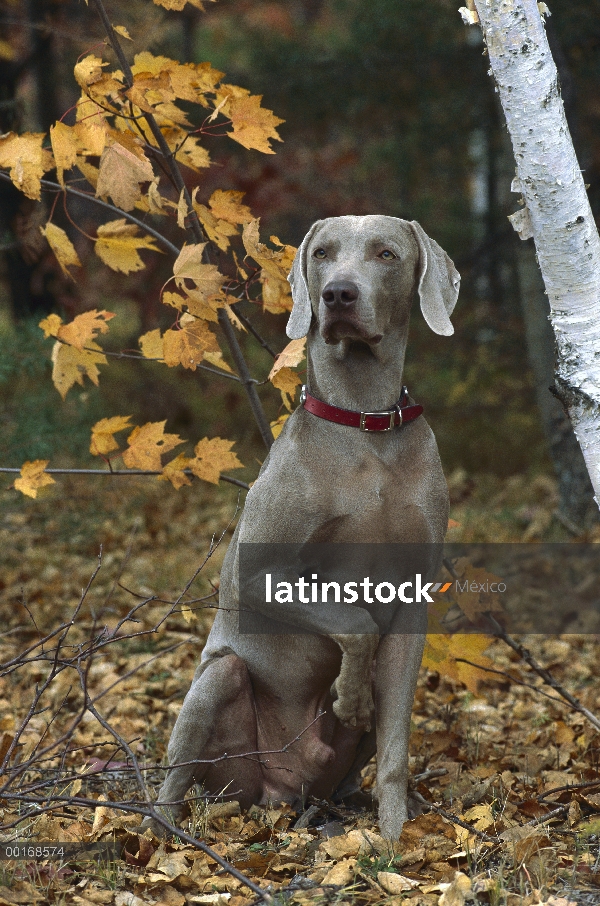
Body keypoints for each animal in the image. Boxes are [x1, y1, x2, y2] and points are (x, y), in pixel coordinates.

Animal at [143, 215, 462, 836]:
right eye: (321, 254)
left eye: (386, 254)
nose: (337, 294)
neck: (365, 426)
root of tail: (278, 795)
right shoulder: (254, 575)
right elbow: (355, 624)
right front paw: (350, 696)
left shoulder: (412, 602)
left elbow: (395, 741)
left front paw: (397, 839)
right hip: (217, 684)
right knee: (173, 783)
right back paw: (160, 837)